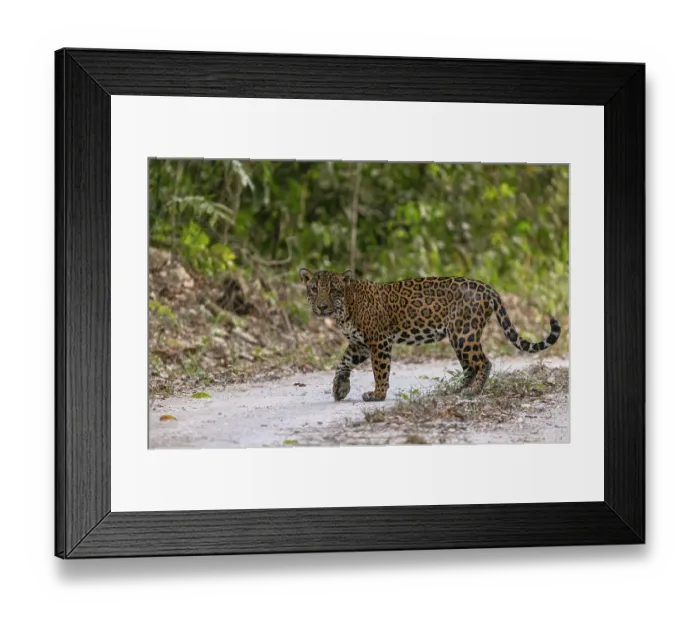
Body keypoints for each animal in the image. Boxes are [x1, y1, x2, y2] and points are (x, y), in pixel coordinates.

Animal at [299, 268, 561, 402]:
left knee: (484, 362)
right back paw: (456, 389)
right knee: (470, 366)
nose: (322, 307)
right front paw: (340, 388)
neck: (345, 307)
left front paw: (378, 394)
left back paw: (473, 392)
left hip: (463, 333)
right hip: (459, 336)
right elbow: (343, 362)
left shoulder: (379, 340)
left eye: (334, 290)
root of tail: (488, 288)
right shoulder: (360, 344)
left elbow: (380, 370)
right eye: (314, 289)